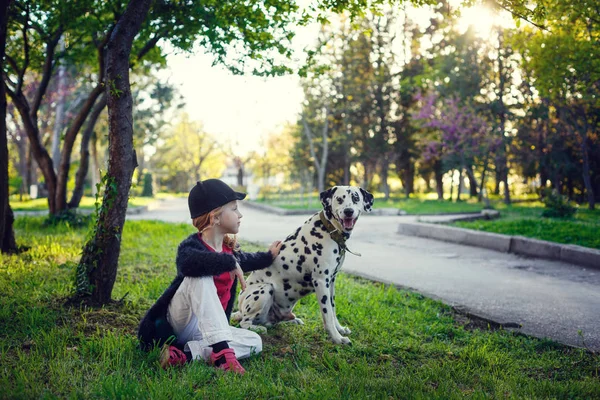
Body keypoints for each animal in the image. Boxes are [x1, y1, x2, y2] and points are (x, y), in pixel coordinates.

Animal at [232, 185, 372, 344]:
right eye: (339, 199)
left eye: (355, 198)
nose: (348, 211)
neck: (328, 229)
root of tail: (239, 310)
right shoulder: (321, 281)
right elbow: (327, 315)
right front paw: (337, 338)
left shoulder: (331, 282)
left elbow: (333, 310)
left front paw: (340, 329)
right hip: (264, 289)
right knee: (244, 322)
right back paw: (257, 328)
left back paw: (292, 321)